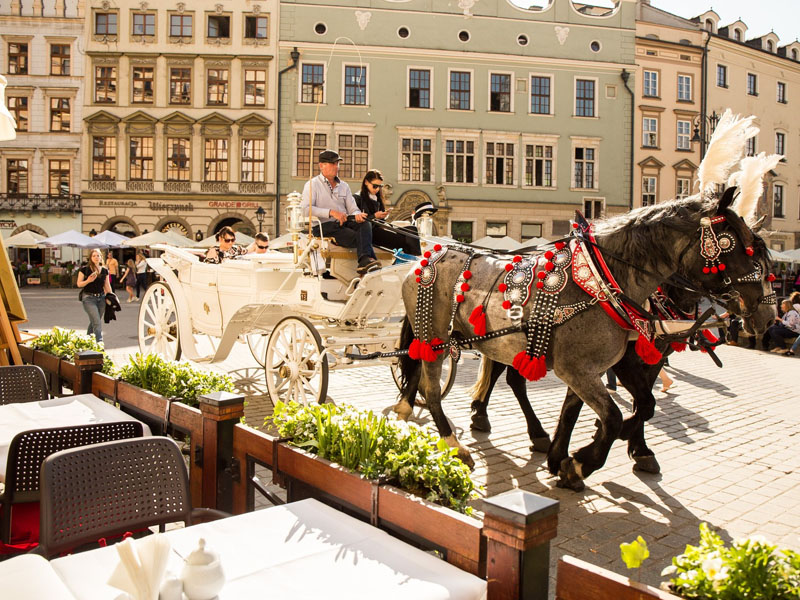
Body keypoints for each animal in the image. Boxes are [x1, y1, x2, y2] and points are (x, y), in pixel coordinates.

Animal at [396, 190, 780, 490]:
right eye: (738, 247)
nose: (767, 316)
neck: (603, 279)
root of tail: (425, 256)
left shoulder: (594, 367)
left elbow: (608, 408)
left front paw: (564, 457)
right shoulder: (583, 369)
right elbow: (613, 416)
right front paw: (582, 462)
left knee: (445, 376)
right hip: (433, 336)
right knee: (432, 389)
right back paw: (453, 443)